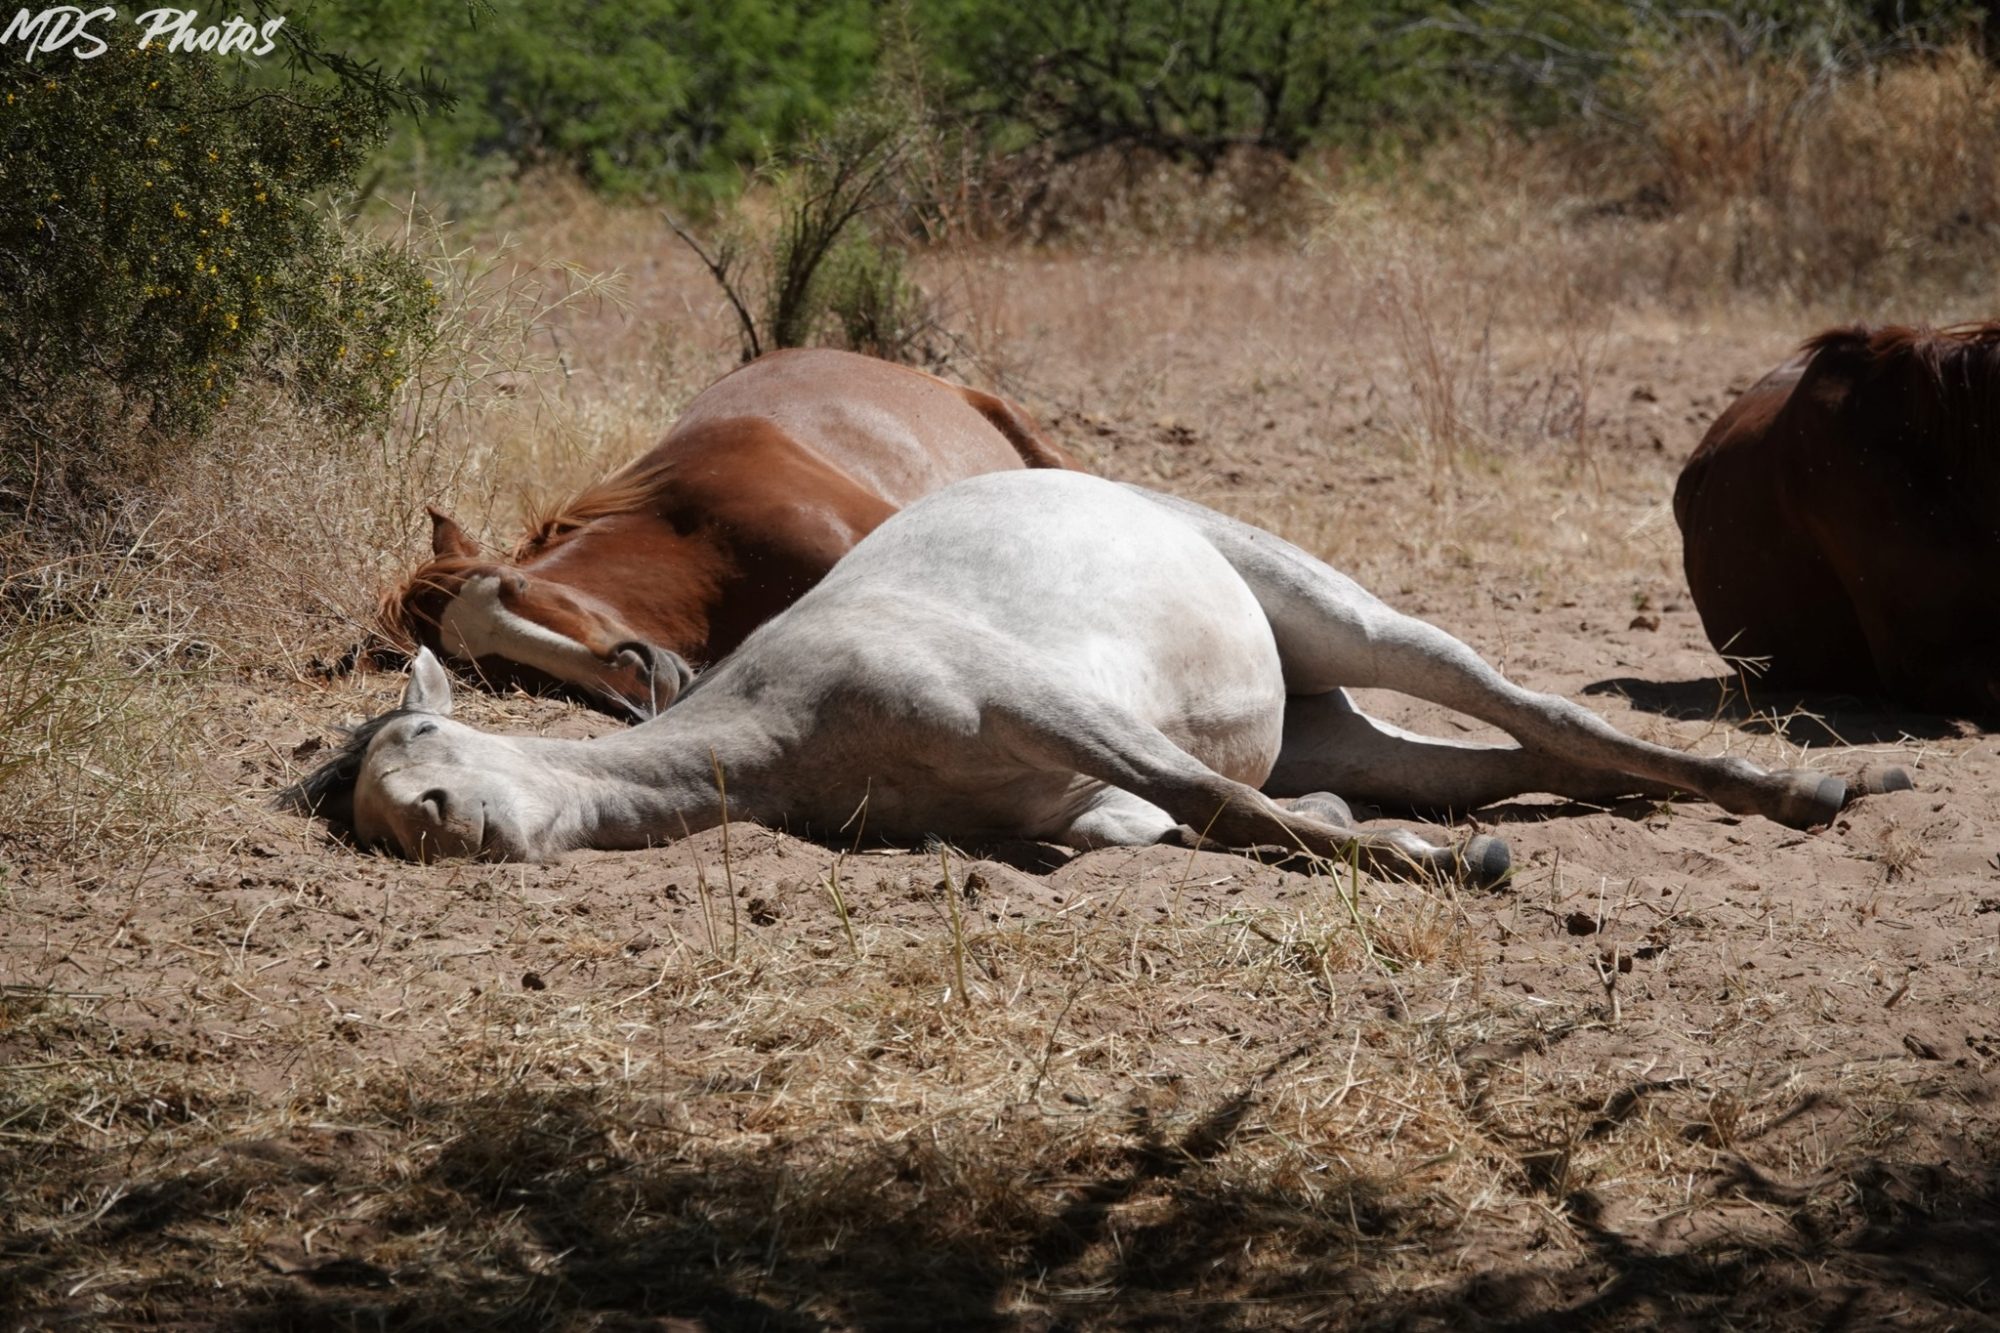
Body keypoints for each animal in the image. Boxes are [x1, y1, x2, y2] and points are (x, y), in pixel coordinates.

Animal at [290, 472, 1902, 883]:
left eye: (417, 759)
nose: (441, 827)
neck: (789, 725)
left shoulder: (1056, 710)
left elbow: (1233, 813)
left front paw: (1450, 871)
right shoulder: (1077, 809)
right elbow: (1201, 824)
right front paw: (1414, 847)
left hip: (1342, 619)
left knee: (1538, 710)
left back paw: (1813, 785)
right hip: (1332, 719)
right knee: (1522, 759)